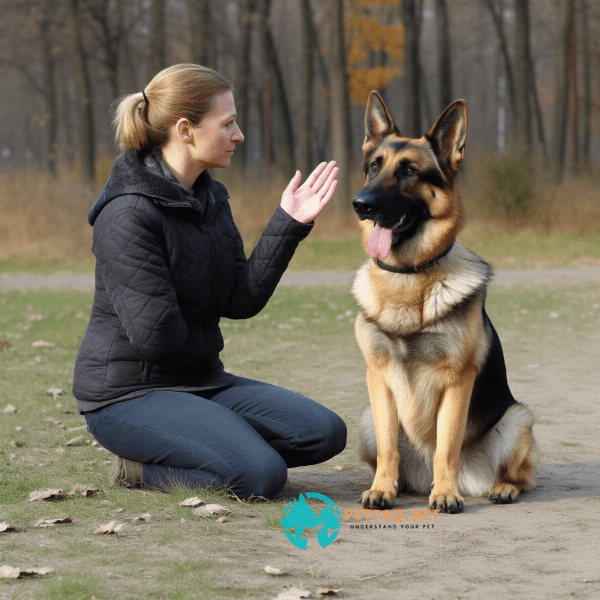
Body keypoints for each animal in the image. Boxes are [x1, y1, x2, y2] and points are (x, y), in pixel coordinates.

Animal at [350, 91, 536, 512]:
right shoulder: (378, 378)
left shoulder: (457, 380)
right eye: (374, 167)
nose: (360, 204)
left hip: (516, 419)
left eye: (408, 171)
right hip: (366, 418)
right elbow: (389, 447)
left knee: (523, 476)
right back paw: (399, 484)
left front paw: (446, 494)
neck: (408, 277)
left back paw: (498, 487)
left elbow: (446, 446)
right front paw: (381, 488)